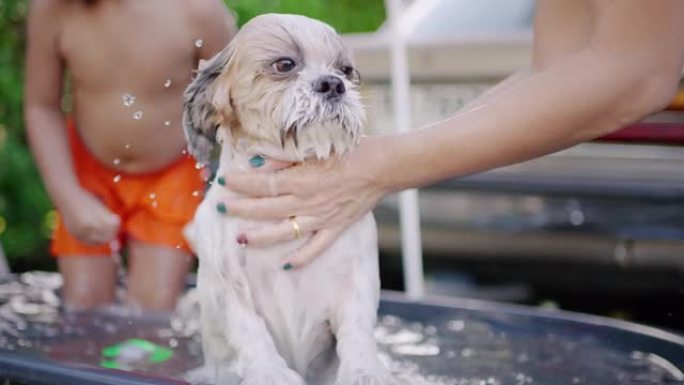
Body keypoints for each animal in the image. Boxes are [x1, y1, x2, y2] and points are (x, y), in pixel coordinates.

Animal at [182, 13, 392, 384]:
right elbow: (249, 330)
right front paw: (270, 373)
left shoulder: (358, 276)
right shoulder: (228, 286)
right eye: (284, 64)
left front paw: (364, 371)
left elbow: (357, 328)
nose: (332, 84)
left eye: (345, 70)